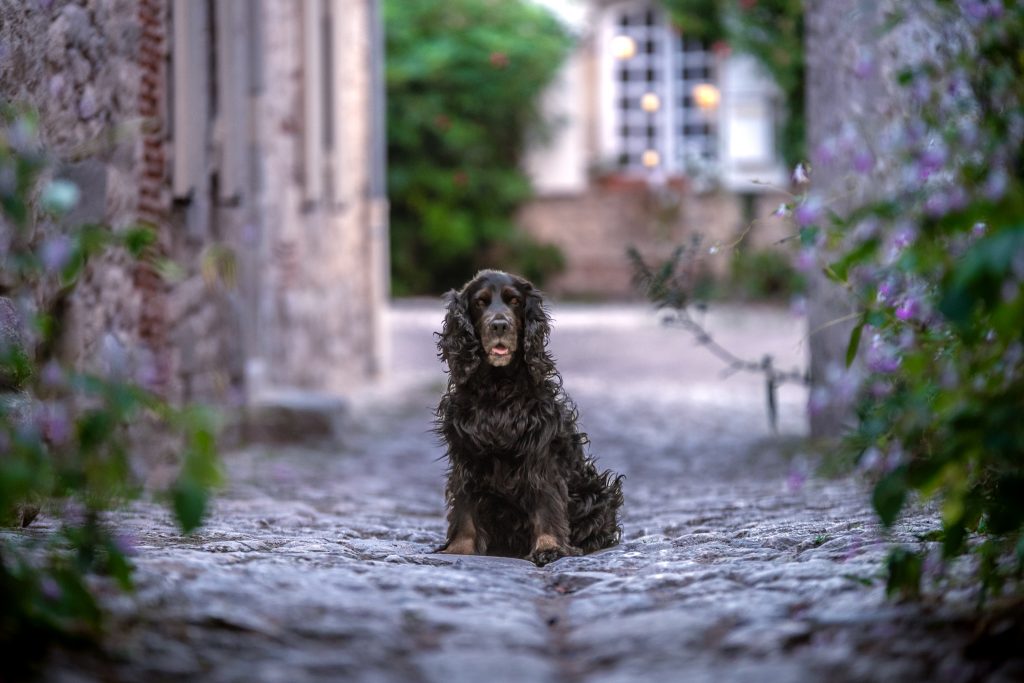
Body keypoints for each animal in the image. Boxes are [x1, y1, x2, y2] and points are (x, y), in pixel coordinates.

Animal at [434, 268, 622, 565]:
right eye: (480, 302)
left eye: (514, 301)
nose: (500, 325)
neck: (497, 388)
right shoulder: (466, 453)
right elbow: (464, 507)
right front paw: (459, 549)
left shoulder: (540, 454)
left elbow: (546, 502)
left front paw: (549, 547)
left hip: (597, 492)